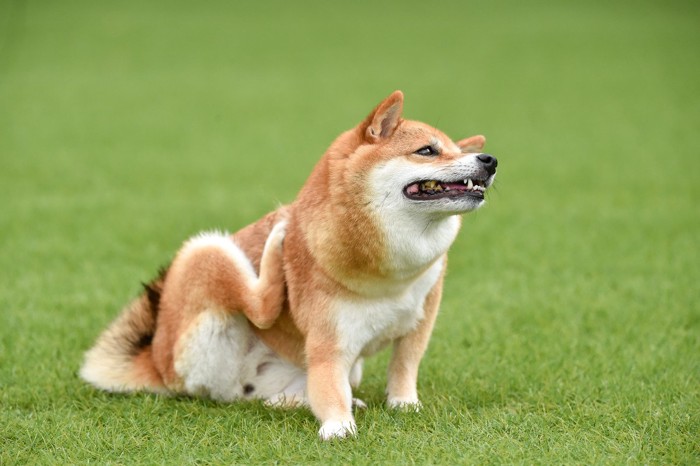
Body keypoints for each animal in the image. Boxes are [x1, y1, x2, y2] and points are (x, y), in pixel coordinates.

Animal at [80, 91, 498, 440]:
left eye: (453, 148)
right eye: (427, 151)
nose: (489, 160)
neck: (390, 275)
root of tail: (156, 363)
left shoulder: (419, 319)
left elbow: (403, 366)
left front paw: (403, 404)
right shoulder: (329, 342)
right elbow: (331, 388)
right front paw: (338, 426)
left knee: (277, 398)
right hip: (207, 252)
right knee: (261, 309)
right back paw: (274, 245)